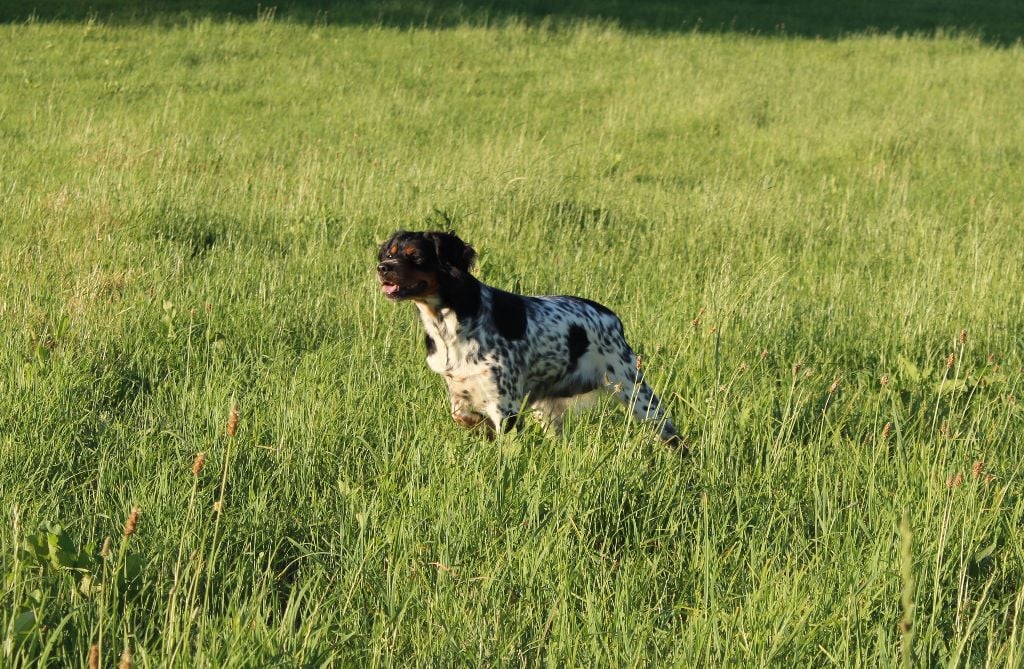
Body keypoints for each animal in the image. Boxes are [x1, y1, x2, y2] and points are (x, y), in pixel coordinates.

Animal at [376, 229, 688, 454]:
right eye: (390, 253)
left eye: (415, 256)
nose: (382, 267)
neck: (449, 322)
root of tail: (612, 317)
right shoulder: (460, 391)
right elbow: (461, 416)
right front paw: (481, 429)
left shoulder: (506, 403)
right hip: (547, 410)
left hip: (636, 393)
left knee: (673, 437)